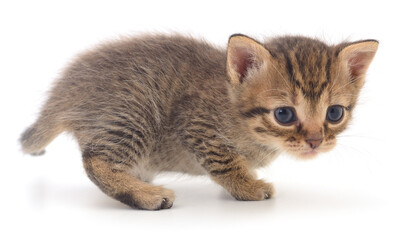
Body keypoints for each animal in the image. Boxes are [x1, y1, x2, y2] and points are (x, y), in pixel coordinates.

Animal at [20, 33, 376, 210]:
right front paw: (247, 186)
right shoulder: (195, 123)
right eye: (284, 114)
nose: (316, 141)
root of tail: (65, 90)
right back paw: (146, 196)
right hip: (133, 114)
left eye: (334, 113)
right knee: (96, 160)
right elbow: (225, 162)